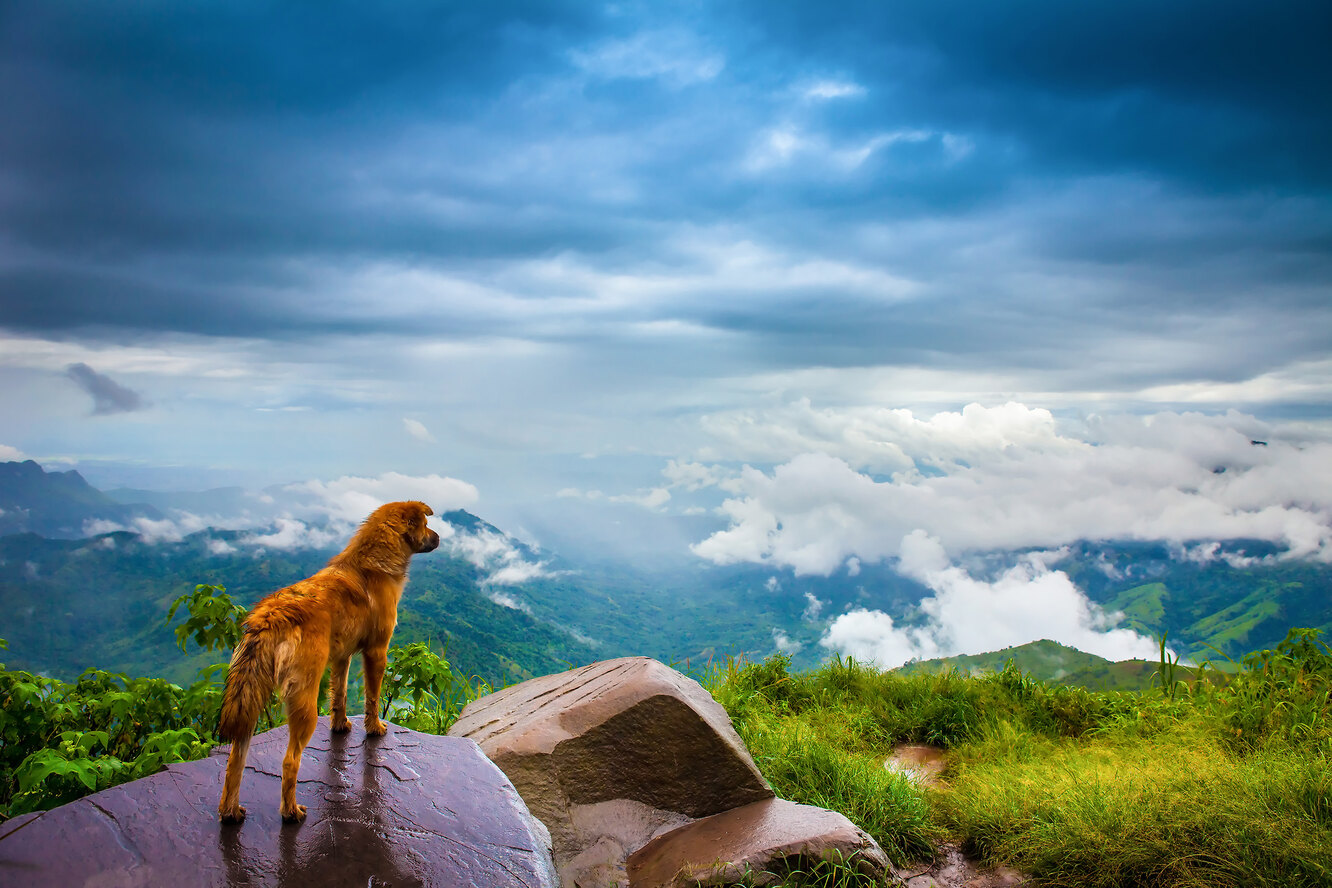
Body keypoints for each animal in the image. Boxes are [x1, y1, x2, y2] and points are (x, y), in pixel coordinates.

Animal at [215, 503, 439, 825]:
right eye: (425, 525)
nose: (439, 538)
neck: (373, 562)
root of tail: (270, 617)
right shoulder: (376, 652)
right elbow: (372, 696)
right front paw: (374, 728)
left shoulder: (342, 657)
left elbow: (340, 695)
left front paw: (340, 725)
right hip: (304, 699)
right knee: (289, 761)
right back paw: (290, 811)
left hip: (250, 699)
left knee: (235, 760)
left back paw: (230, 811)